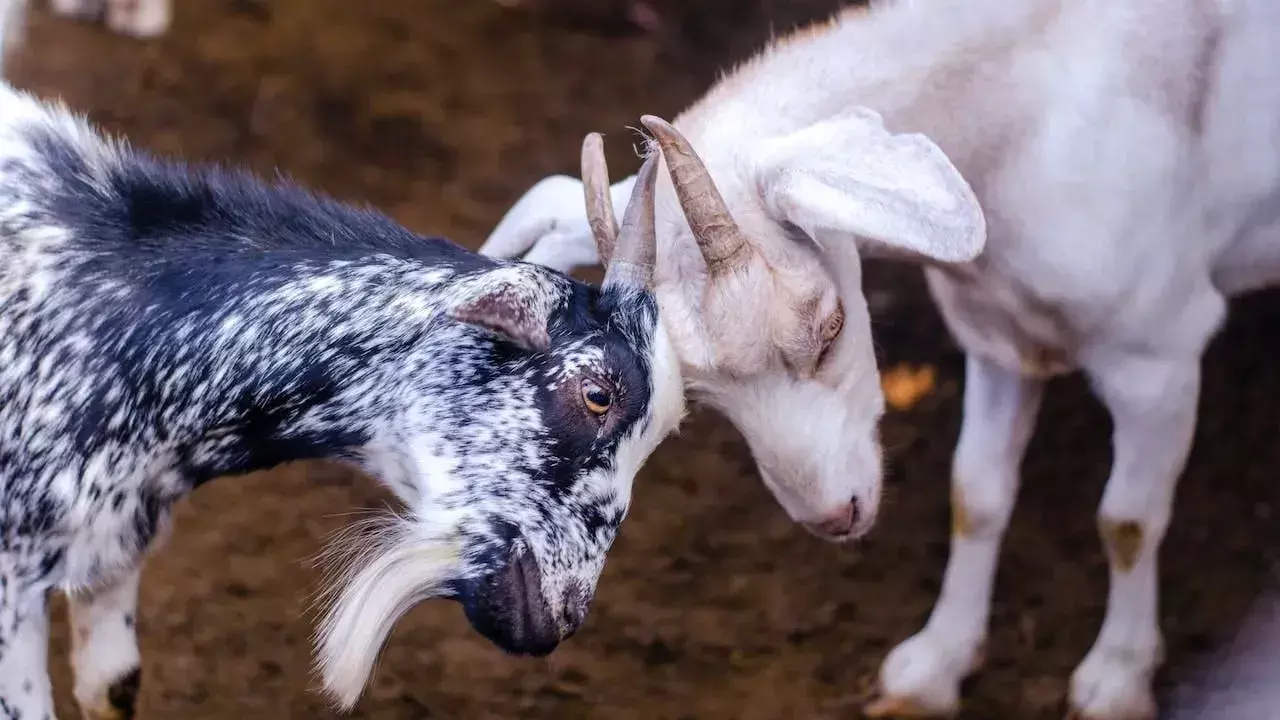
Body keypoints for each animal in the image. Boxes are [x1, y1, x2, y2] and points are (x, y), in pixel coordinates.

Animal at [479, 0, 1280, 717]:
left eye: (832, 328)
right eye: (700, 400)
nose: (836, 517)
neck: (1025, 120)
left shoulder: (1159, 352)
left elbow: (1128, 521)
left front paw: (1115, 682)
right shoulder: (997, 337)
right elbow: (976, 495)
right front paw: (934, 668)